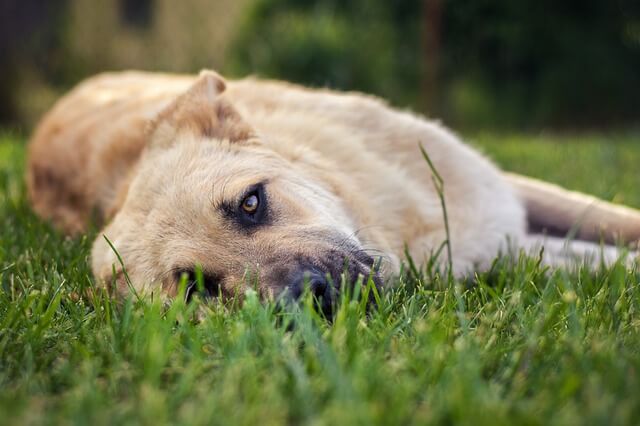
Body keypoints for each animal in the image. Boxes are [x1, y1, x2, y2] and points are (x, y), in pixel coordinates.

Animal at [26, 70, 640, 302]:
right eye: (201, 287)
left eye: (251, 203)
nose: (312, 295)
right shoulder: (495, 249)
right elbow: (596, 259)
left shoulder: (502, 197)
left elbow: (610, 222)